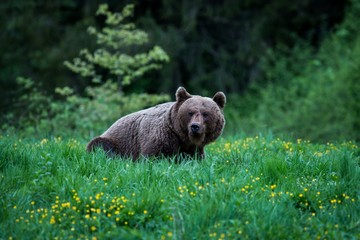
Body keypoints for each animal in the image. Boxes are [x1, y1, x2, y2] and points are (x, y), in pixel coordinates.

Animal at [86, 86, 225, 159]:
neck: (181, 136)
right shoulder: (161, 136)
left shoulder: (194, 148)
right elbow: (153, 156)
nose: (195, 126)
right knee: (100, 145)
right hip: (114, 141)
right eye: (190, 112)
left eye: (206, 114)